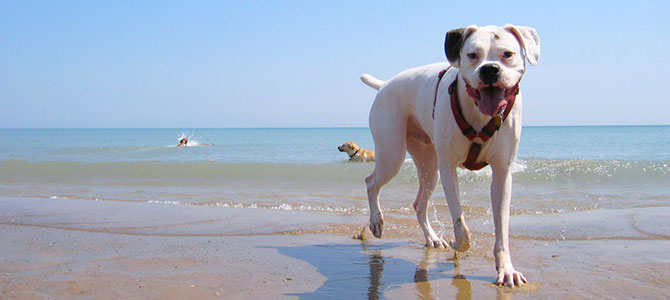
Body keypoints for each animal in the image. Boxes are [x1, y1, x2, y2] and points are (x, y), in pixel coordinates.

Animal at [362, 24, 540, 288]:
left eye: (507, 54)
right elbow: (460, 224)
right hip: (392, 154)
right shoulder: (449, 169)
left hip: (429, 168)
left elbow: (501, 228)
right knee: (371, 182)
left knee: (419, 204)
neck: (479, 114)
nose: (490, 69)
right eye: (472, 55)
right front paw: (459, 242)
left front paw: (506, 269)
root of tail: (384, 85)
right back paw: (376, 221)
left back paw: (433, 238)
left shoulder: (502, 174)